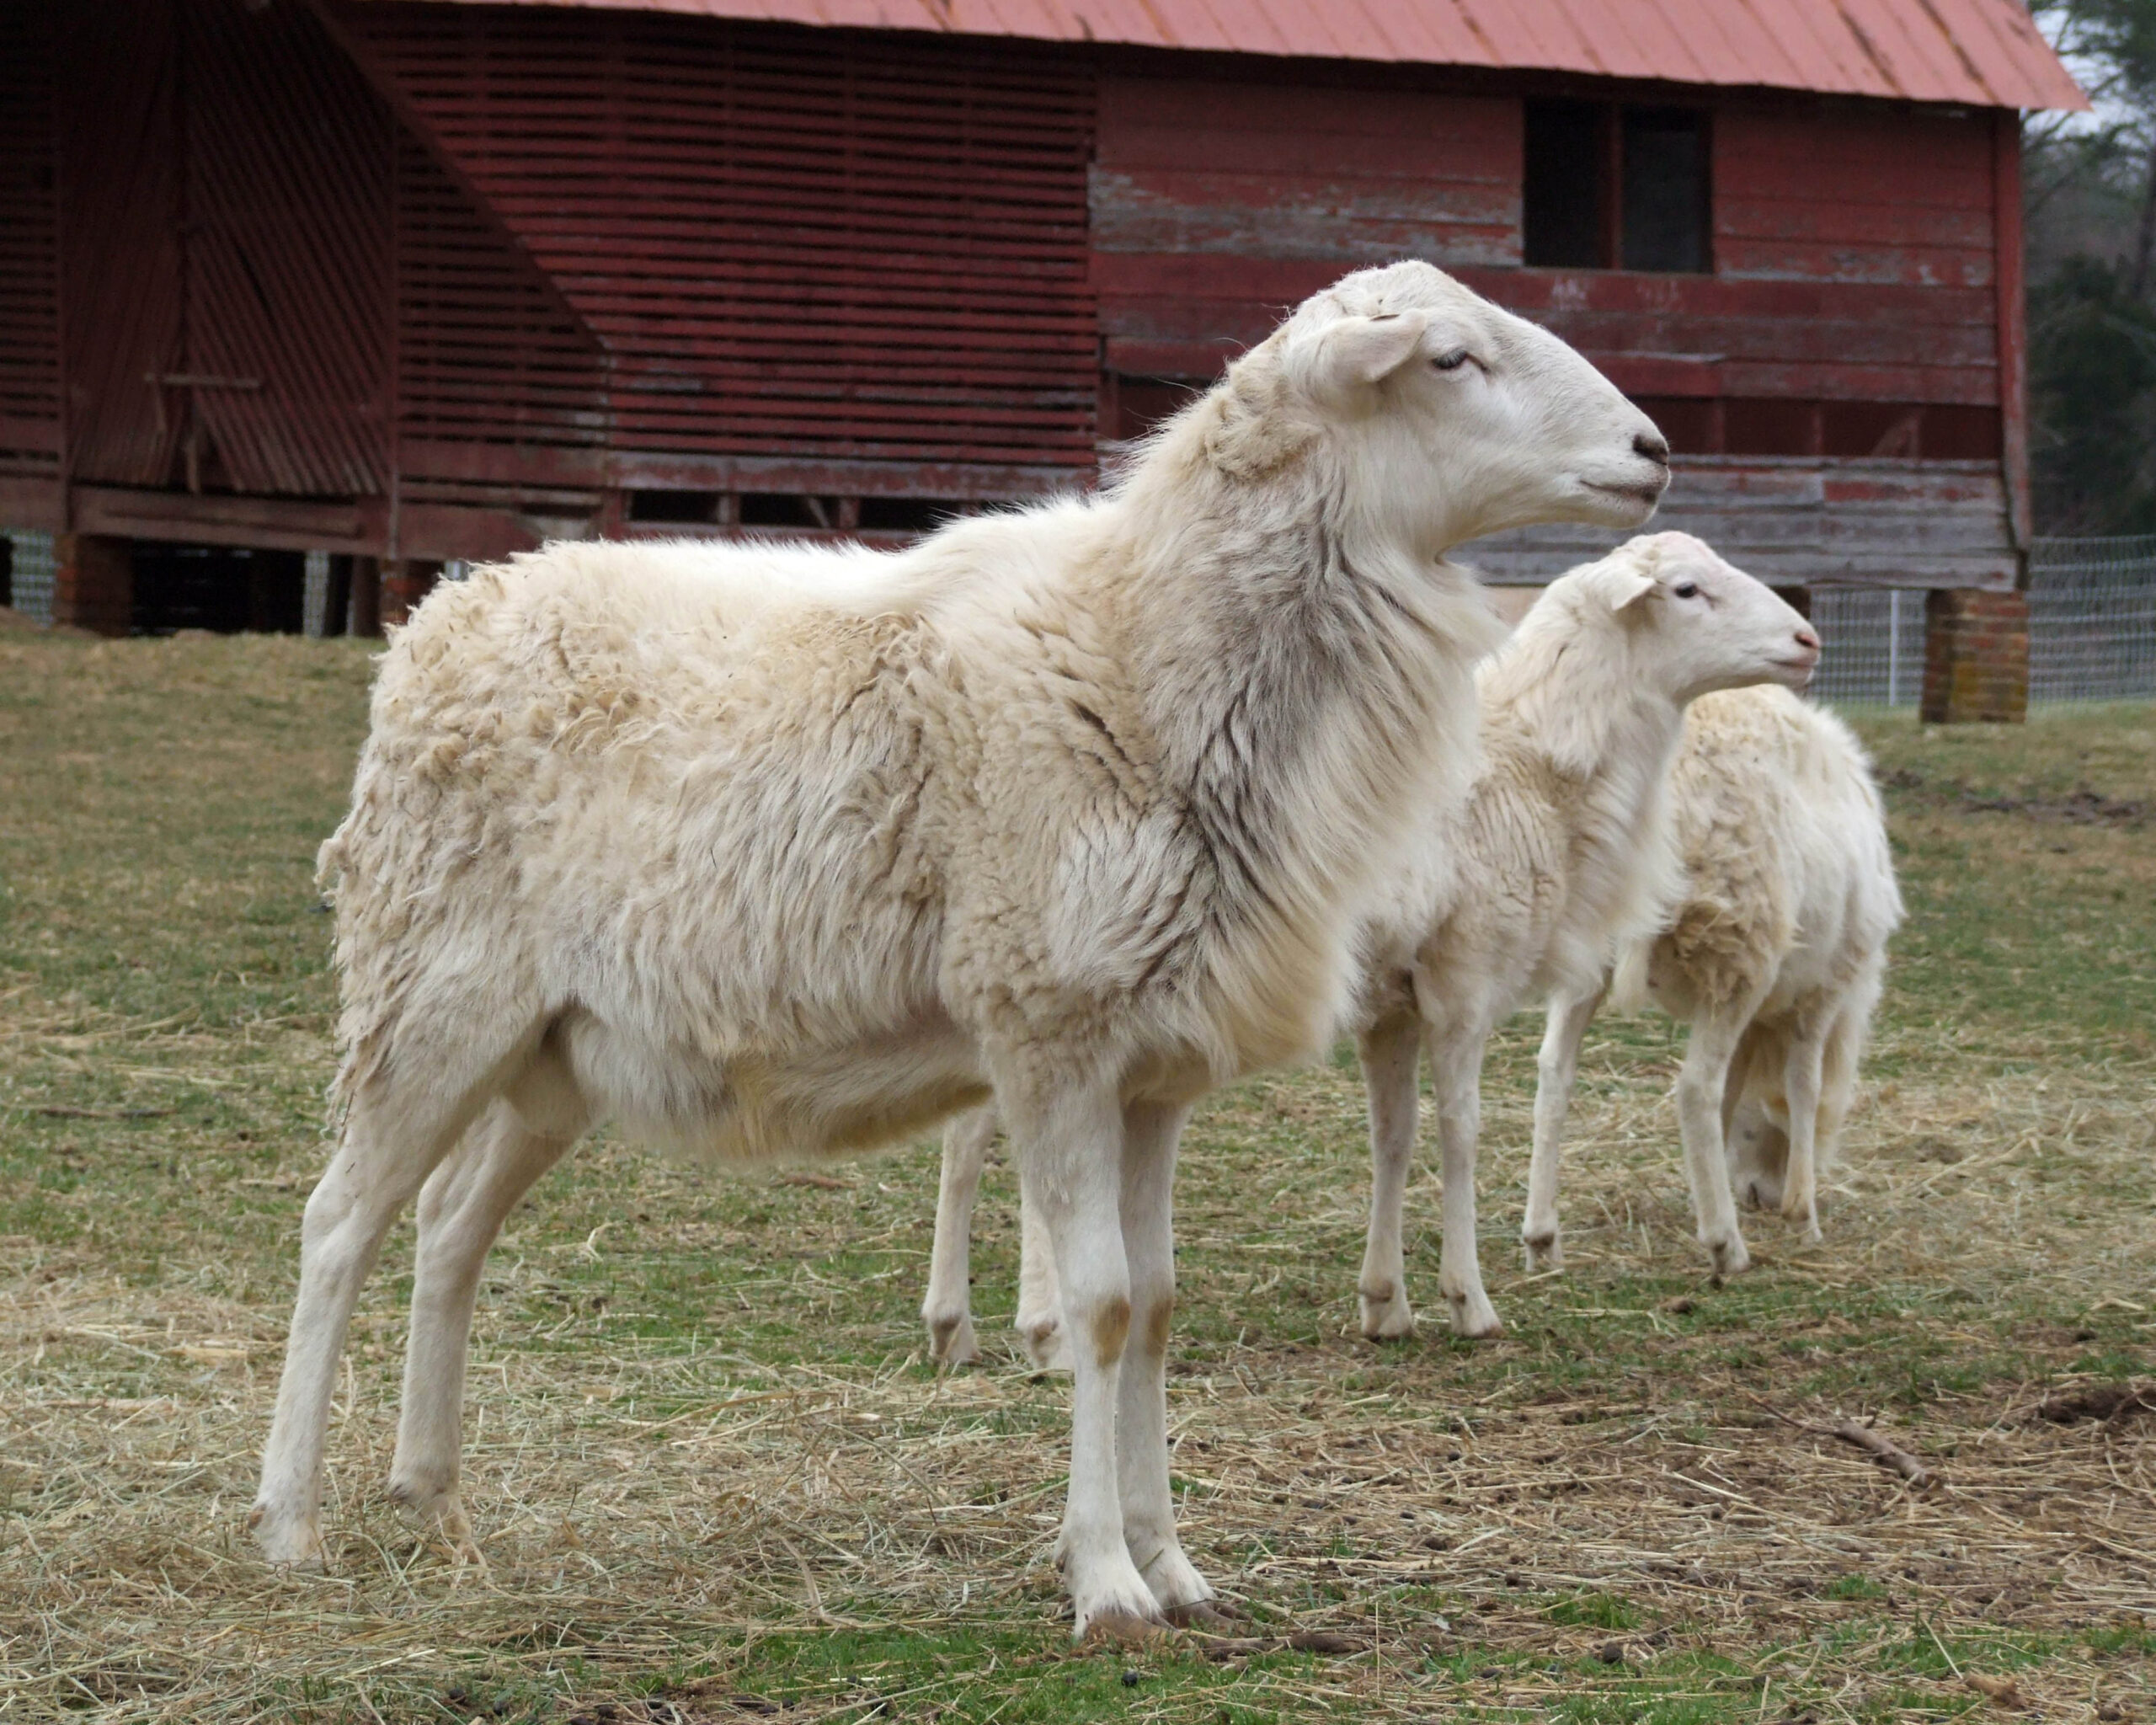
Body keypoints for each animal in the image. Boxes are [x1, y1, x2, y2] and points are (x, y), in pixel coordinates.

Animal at [248, 259, 1671, 1640]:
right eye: (1450, 359)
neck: (1141, 651)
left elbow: (1157, 1305)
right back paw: (290, 1520)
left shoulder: (1152, 1068)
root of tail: (445, 610)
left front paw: (1176, 1566)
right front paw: (1106, 1584)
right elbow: (1098, 1304)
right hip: (432, 995)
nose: (1654, 449)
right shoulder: (1050, 1028)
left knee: (447, 1231)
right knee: (339, 1226)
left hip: (557, 1048)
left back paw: (431, 1495)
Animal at [920, 534, 1820, 1358]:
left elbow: (1395, 1136)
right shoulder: (1466, 983)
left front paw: (1385, 1301)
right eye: (1686, 589)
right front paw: (1469, 1300)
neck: (1536, 768)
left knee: (969, 1137)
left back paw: (955, 1324)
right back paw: (1040, 1326)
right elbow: (1460, 1130)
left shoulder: (1395, 1006)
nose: (1808, 639)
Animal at [1520, 682, 1903, 1278]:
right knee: (1695, 1086)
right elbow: (1803, 1087)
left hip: (1589, 939)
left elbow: (1734, 1088)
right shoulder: (1824, 989)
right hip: (1740, 946)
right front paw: (1803, 1215)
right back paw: (1727, 1245)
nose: (1762, 1196)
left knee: (1554, 1069)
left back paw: (1542, 1236)